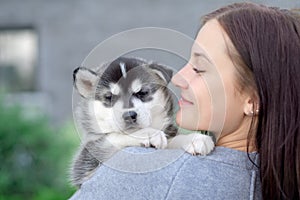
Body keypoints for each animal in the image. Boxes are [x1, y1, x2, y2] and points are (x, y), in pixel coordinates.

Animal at [71, 56, 214, 188]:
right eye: (109, 97)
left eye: (142, 92)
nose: (129, 115)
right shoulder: (87, 161)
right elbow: (114, 136)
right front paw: (148, 133)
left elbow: (172, 139)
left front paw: (195, 139)